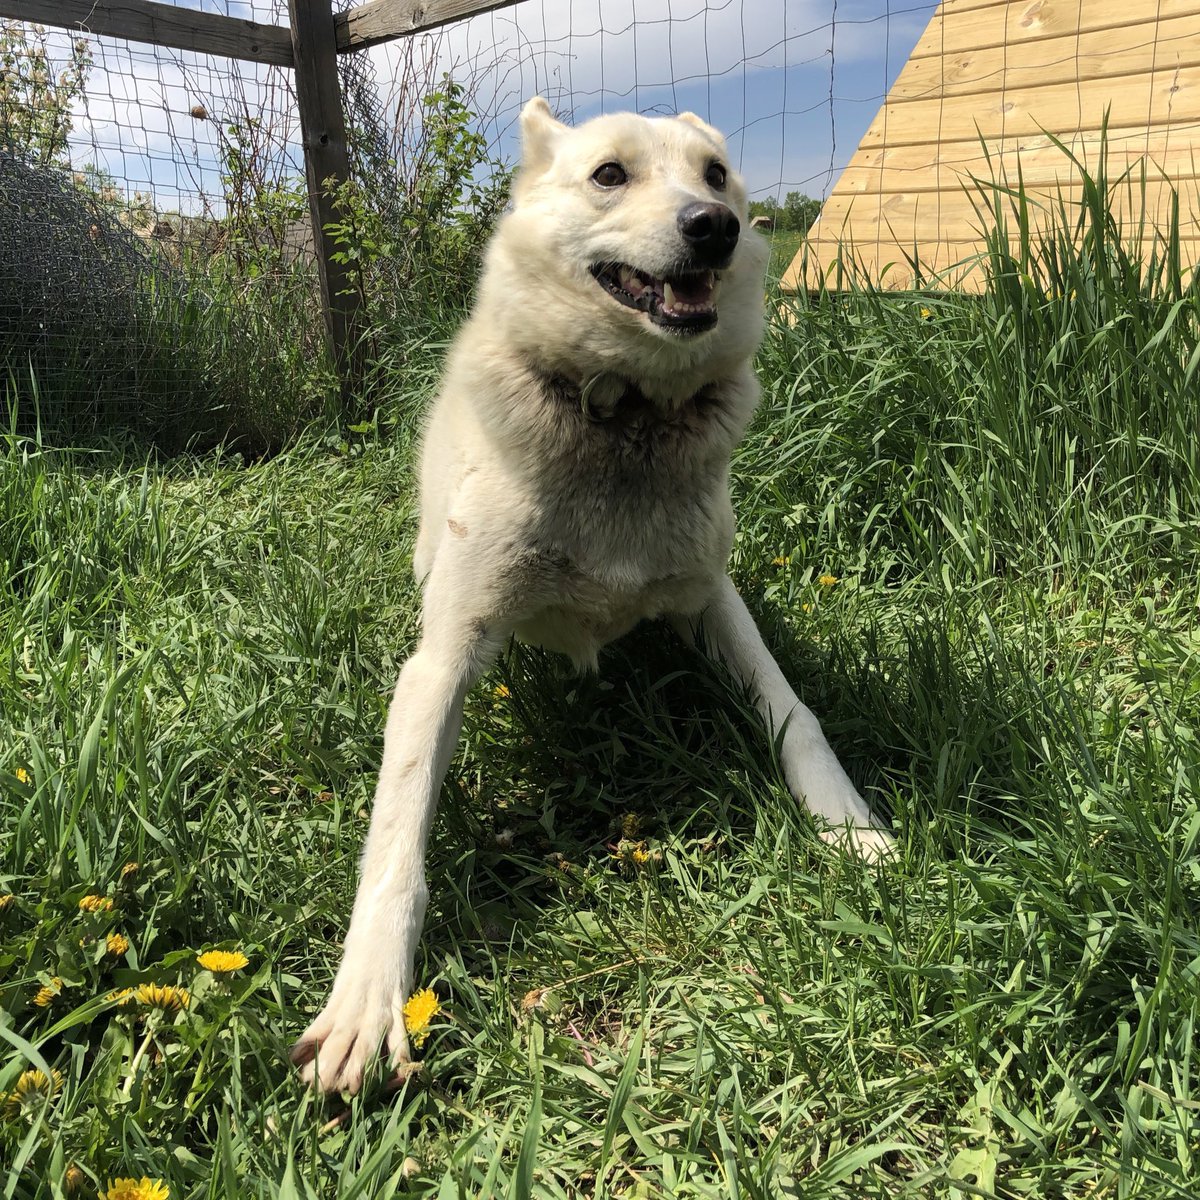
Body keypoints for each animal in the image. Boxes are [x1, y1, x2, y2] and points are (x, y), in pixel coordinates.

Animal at [290, 98, 892, 1094]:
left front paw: (849, 827)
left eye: (716, 175)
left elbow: (794, 711)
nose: (715, 228)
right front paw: (366, 1003)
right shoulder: (443, 659)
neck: (625, 418)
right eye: (610, 174)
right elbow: (397, 841)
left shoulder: (712, 598)